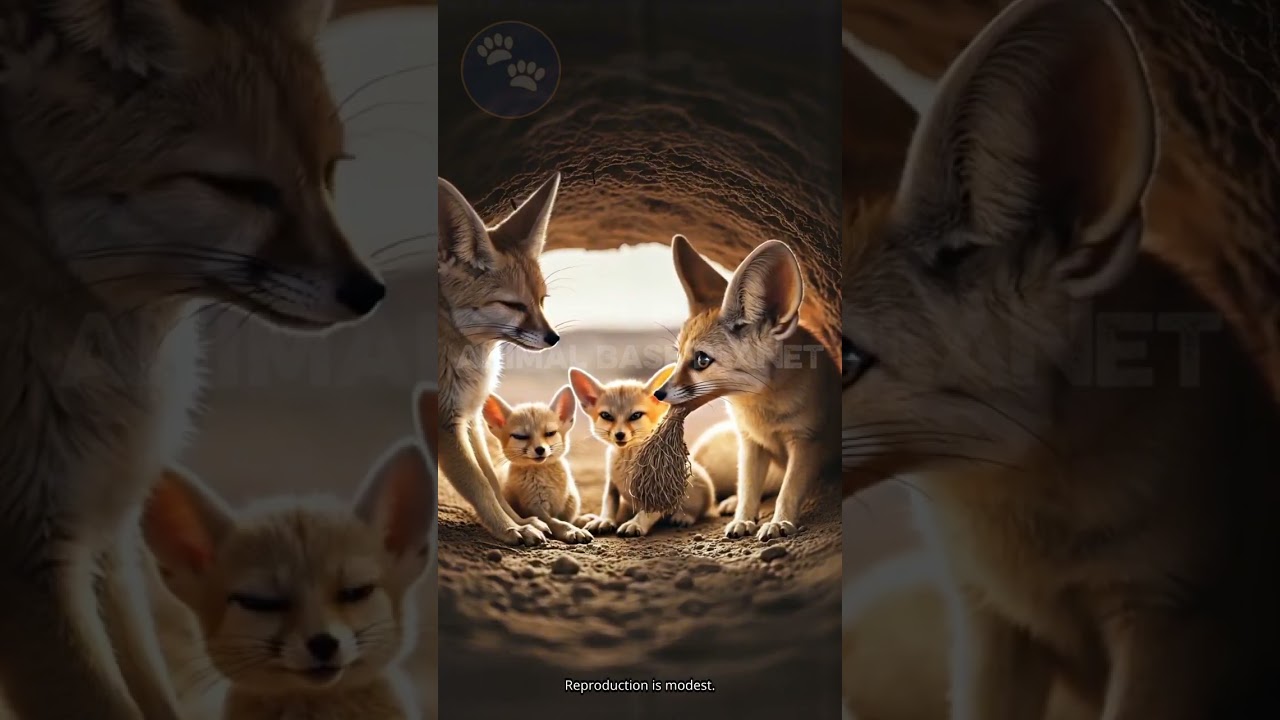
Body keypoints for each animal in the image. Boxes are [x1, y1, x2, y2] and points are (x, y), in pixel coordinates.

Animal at [0, 1, 385, 718]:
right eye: (238, 187)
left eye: (329, 170)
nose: (370, 293)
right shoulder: (34, 569)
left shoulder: (102, 536)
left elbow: (152, 695)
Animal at [438, 174, 563, 546]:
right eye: (513, 305)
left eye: (542, 300)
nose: (554, 338)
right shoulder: (445, 423)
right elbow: (477, 484)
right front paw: (510, 529)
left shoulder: (469, 417)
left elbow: (491, 479)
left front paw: (522, 521)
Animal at [481, 386, 593, 544]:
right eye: (520, 436)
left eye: (550, 433)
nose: (540, 449)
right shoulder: (536, 510)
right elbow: (558, 522)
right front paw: (572, 530)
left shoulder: (568, 507)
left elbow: (570, 519)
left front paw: (583, 520)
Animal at [568, 365, 717, 537]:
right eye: (606, 416)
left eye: (636, 415)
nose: (619, 435)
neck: (627, 458)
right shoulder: (612, 484)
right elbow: (609, 503)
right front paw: (604, 520)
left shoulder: (659, 491)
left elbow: (648, 512)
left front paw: (635, 524)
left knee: (697, 511)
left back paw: (682, 517)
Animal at [656, 236, 840, 542]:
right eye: (678, 354)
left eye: (701, 360)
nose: (658, 394)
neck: (763, 414)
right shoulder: (750, 442)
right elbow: (748, 487)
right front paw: (743, 519)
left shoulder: (805, 441)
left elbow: (788, 490)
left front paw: (779, 523)